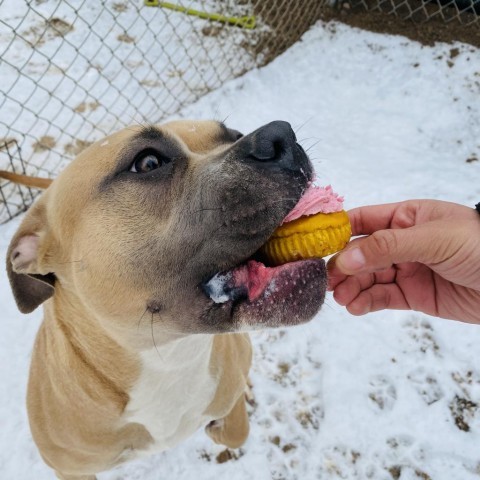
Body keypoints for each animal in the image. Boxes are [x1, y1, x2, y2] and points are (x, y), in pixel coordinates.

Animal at [5, 120, 328, 480]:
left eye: (232, 134)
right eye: (148, 163)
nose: (281, 135)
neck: (168, 358)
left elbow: (235, 429)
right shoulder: (70, 469)